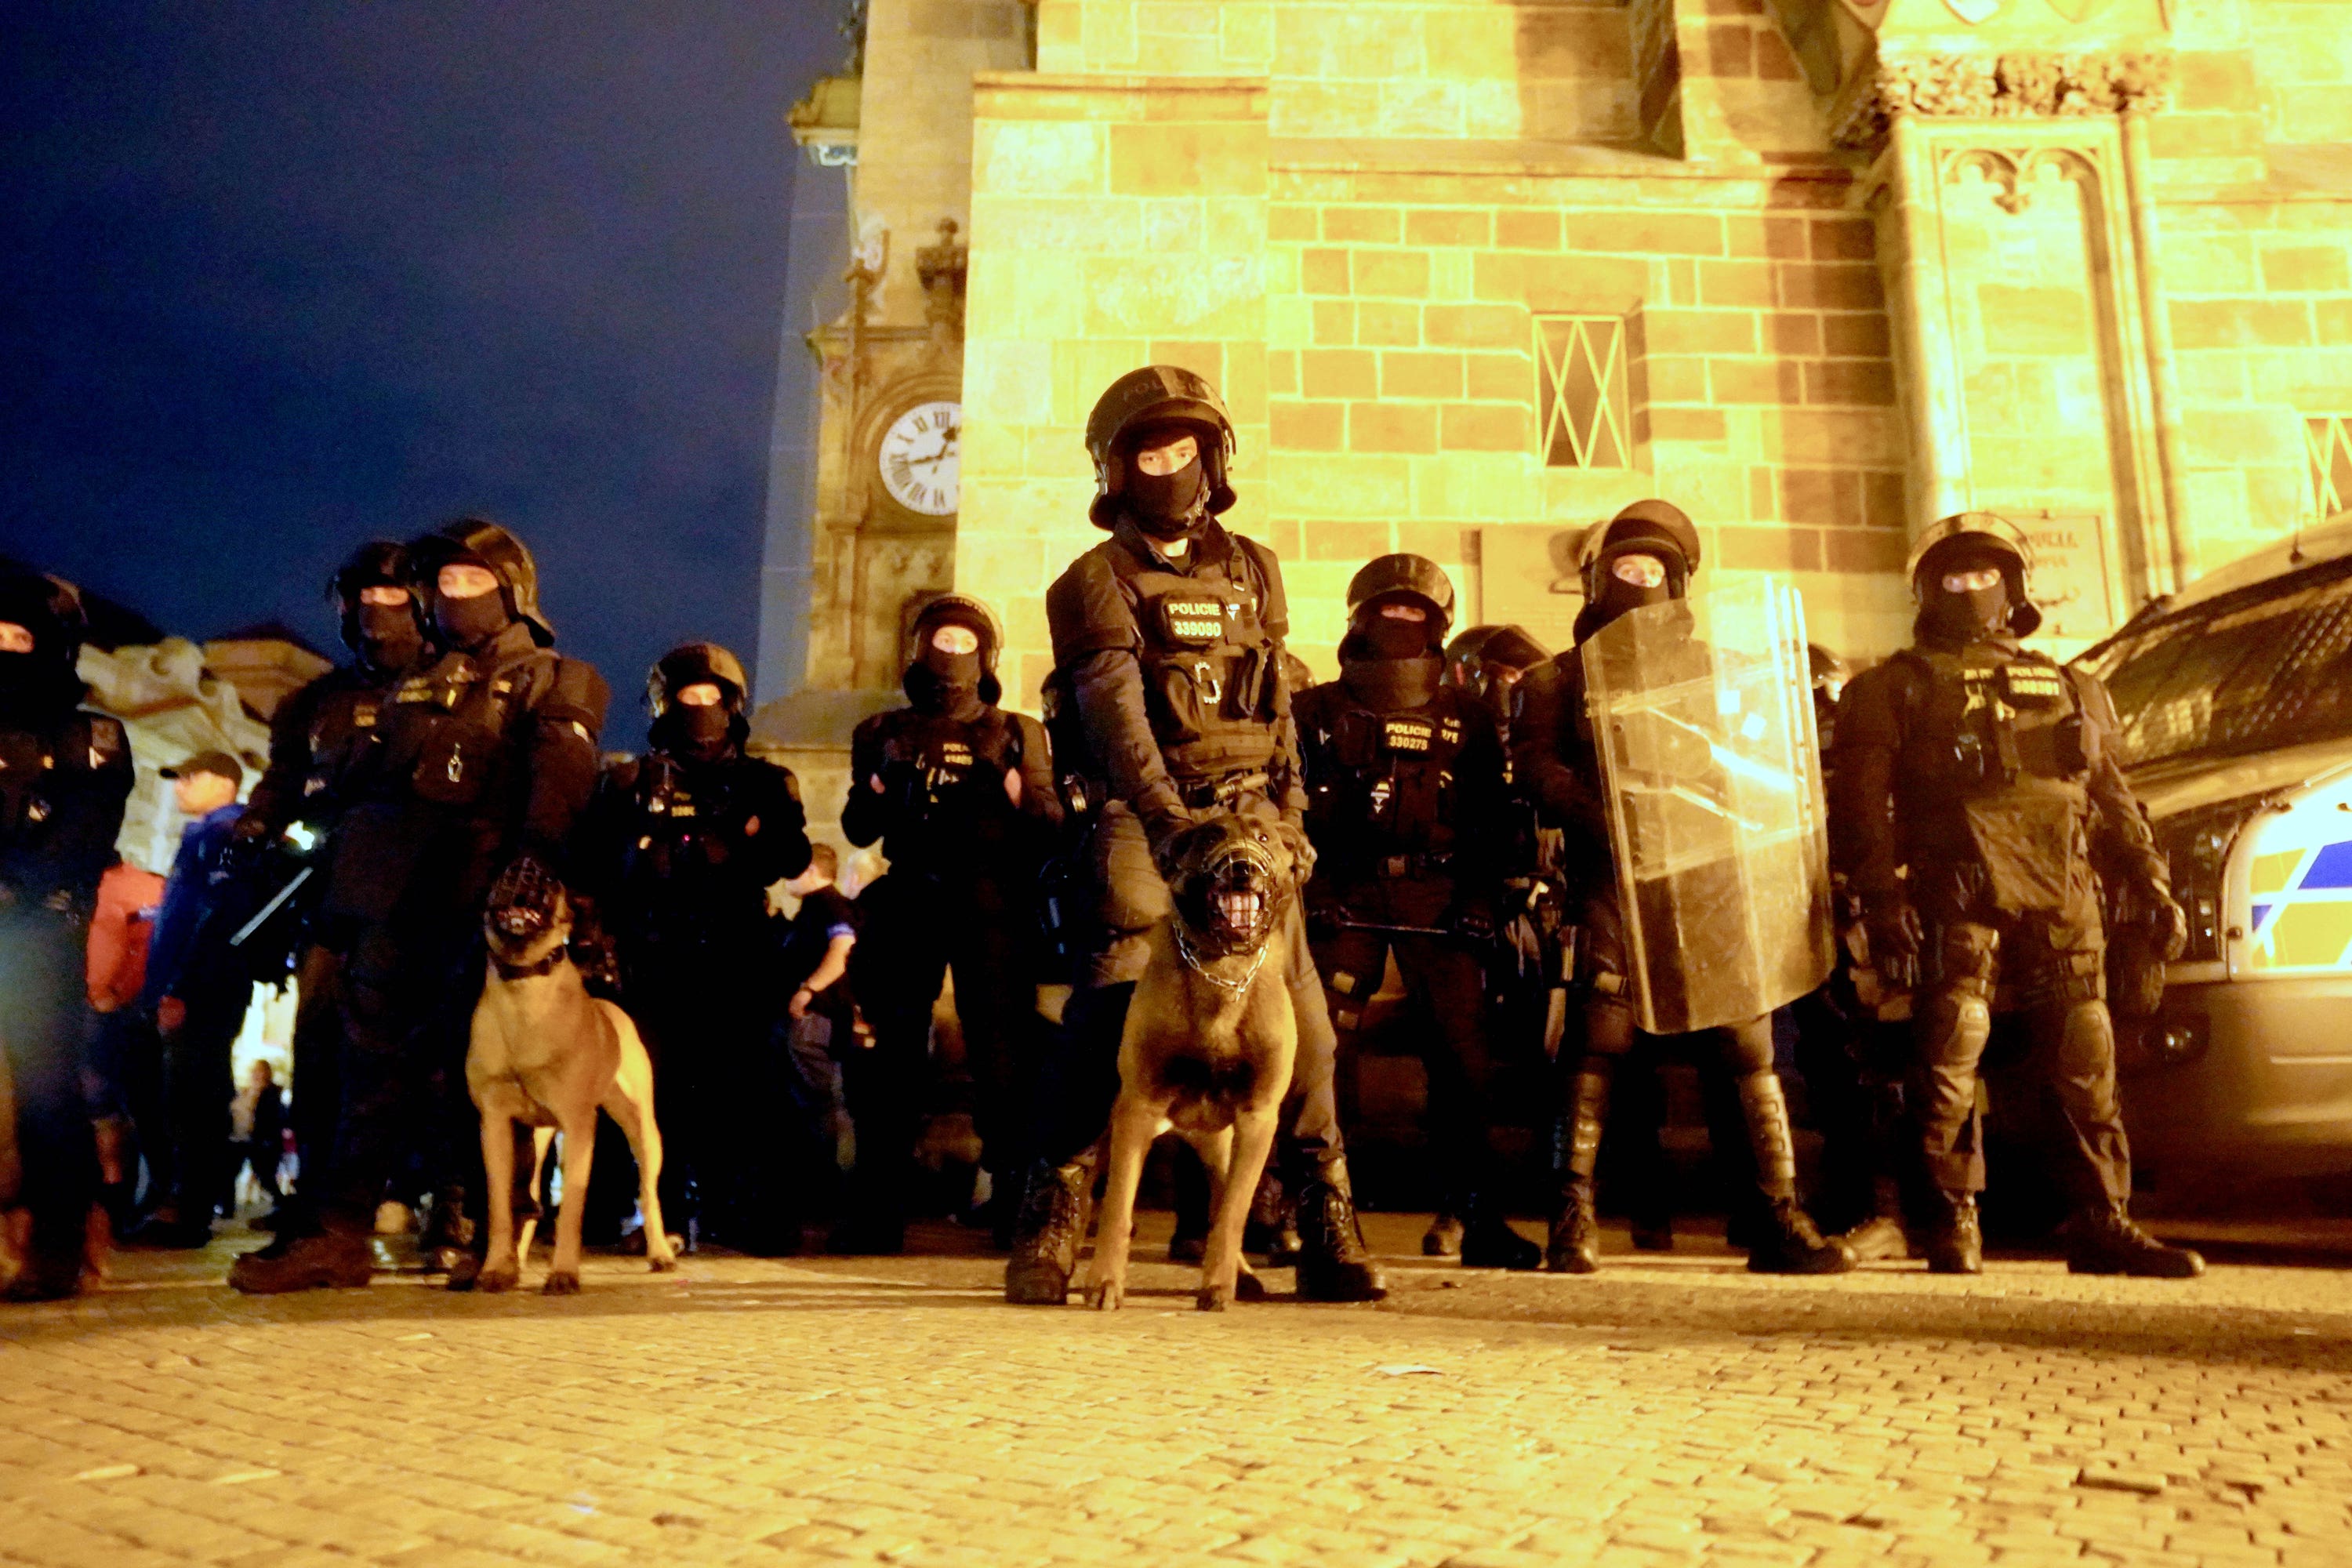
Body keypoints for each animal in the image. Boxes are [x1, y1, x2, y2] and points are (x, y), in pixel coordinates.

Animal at [463, 865, 677, 1298]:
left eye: (550, 882)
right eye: (505, 874)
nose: (526, 870)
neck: (524, 986)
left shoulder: (579, 1124)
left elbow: (572, 1208)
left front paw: (563, 1273)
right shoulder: (496, 1123)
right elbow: (500, 1205)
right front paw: (496, 1268)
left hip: (642, 1130)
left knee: (648, 1193)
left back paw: (661, 1252)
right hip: (540, 1136)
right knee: (527, 1198)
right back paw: (516, 1260)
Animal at [1087, 808, 1317, 1316]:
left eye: (1264, 838)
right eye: (1211, 836)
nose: (1242, 867)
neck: (1220, 969)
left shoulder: (1257, 1118)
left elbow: (1231, 1213)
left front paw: (1218, 1284)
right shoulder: (1138, 1108)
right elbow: (1117, 1207)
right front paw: (1105, 1280)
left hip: (1223, 1143)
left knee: (1222, 1200)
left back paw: (1240, 1274)